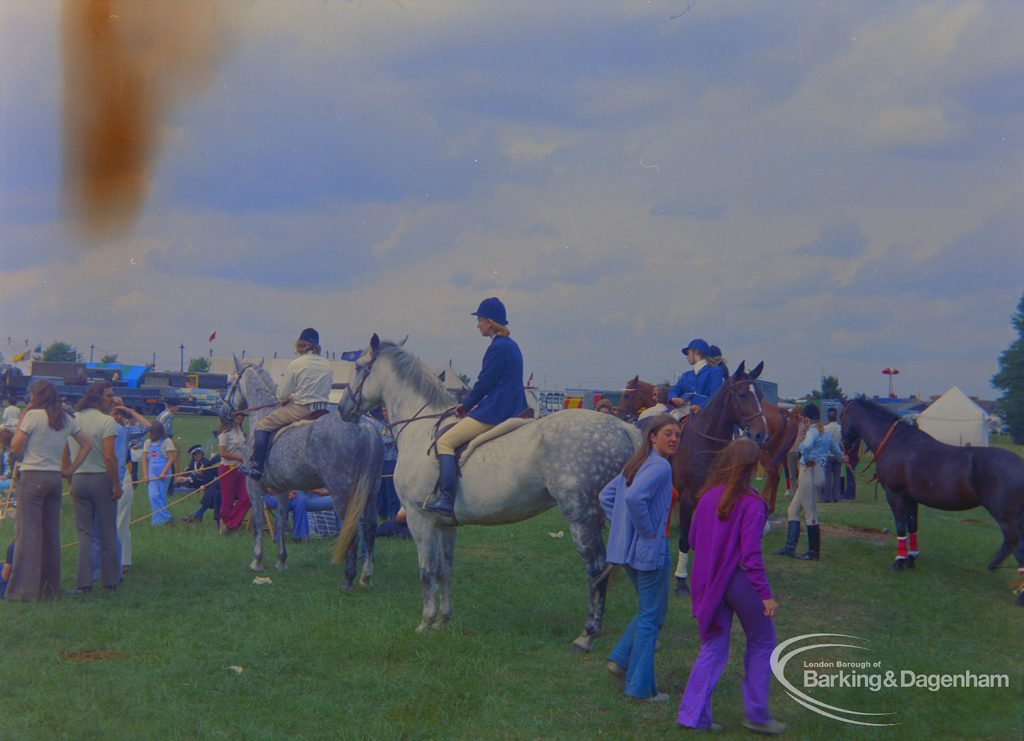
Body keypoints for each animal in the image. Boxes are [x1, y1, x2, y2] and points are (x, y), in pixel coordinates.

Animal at [220, 356, 385, 589]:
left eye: (229, 383)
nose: (223, 413)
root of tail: (365, 427)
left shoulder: (254, 486)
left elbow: (259, 522)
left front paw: (257, 561)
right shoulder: (281, 489)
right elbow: (280, 521)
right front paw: (281, 561)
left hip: (342, 493)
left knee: (352, 530)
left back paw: (348, 578)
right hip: (371, 492)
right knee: (370, 528)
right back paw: (366, 576)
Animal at [337, 333, 638, 650]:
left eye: (358, 367)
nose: (342, 409)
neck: (419, 430)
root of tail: (623, 429)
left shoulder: (420, 520)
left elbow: (426, 572)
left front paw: (426, 622)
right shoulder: (445, 524)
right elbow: (444, 570)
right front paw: (443, 620)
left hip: (581, 515)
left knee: (596, 568)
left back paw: (587, 634)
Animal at [839, 397, 1024, 581]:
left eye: (841, 417)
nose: (844, 446)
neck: (896, 442)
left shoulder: (894, 495)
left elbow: (901, 527)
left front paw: (899, 561)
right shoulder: (910, 499)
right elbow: (912, 526)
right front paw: (911, 559)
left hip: (1006, 519)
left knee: (1016, 546)